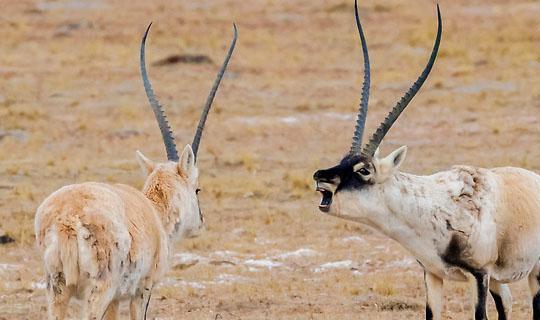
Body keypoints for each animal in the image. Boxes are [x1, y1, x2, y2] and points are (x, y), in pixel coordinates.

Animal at [33, 23, 236, 320]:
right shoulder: (143, 290)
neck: (154, 210)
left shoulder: (115, 300)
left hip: (57, 289)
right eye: (197, 188)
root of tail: (68, 217)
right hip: (99, 289)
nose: (201, 223)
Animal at [312, 1, 540, 318]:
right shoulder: (432, 273)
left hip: (532, 272)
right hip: (499, 281)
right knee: (506, 305)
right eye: (343, 160)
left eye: (364, 170)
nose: (321, 175)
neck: (431, 203)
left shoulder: (479, 274)